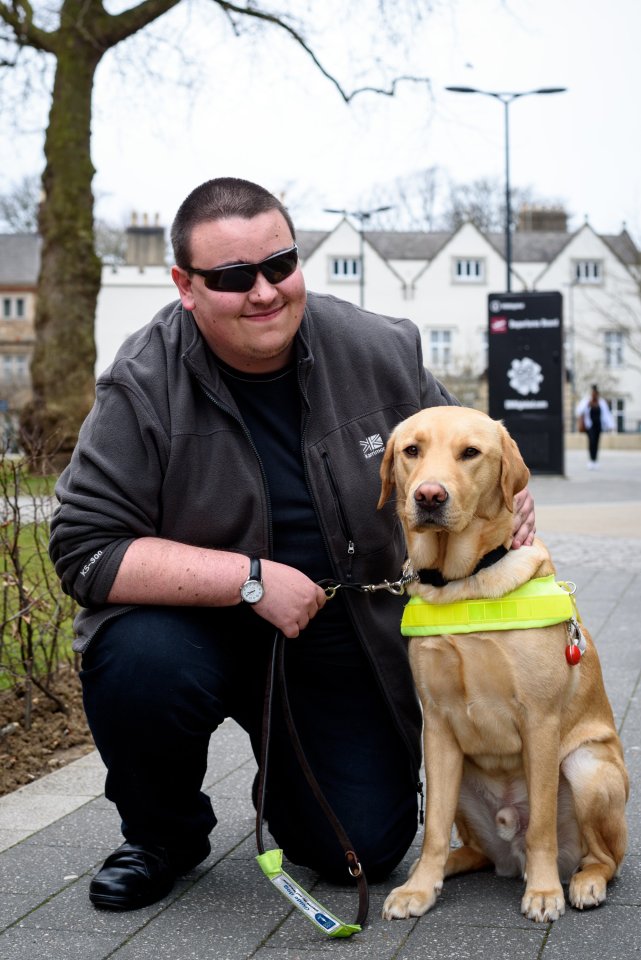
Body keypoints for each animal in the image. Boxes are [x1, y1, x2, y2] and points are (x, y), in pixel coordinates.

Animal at [378, 404, 628, 924]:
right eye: (412, 450)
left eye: (470, 453)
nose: (428, 495)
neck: (463, 585)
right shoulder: (437, 727)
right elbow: (432, 830)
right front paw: (419, 888)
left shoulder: (540, 721)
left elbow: (543, 830)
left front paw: (545, 892)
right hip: (455, 774)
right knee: (473, 848)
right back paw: (446, 867)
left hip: (586, 767)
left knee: (603, 857)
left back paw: (582, 882)